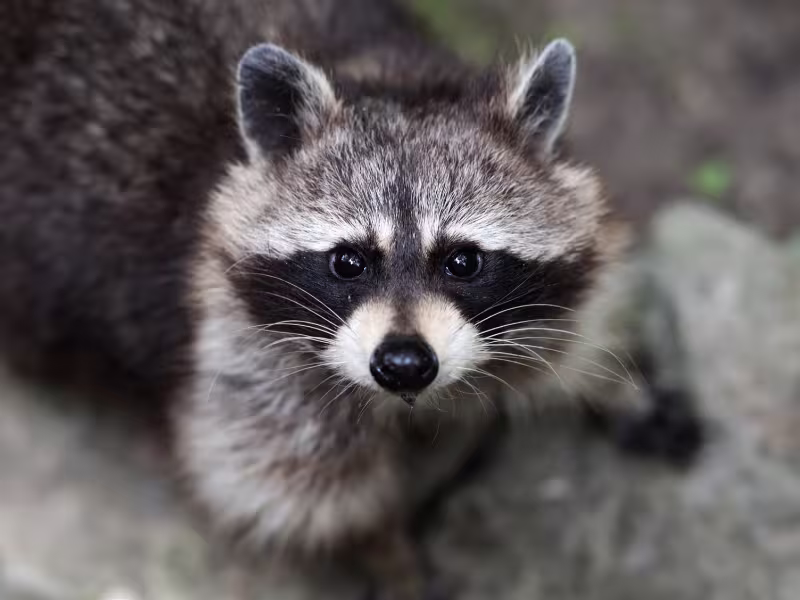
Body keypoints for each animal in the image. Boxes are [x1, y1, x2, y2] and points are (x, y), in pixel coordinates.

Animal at [1, 0, 627, 598]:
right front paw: (382, 544)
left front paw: (604, 382)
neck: (387, 77)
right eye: (348, 262)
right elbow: (291, 486)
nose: (404, 364)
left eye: (463, 261)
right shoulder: (234, 343)